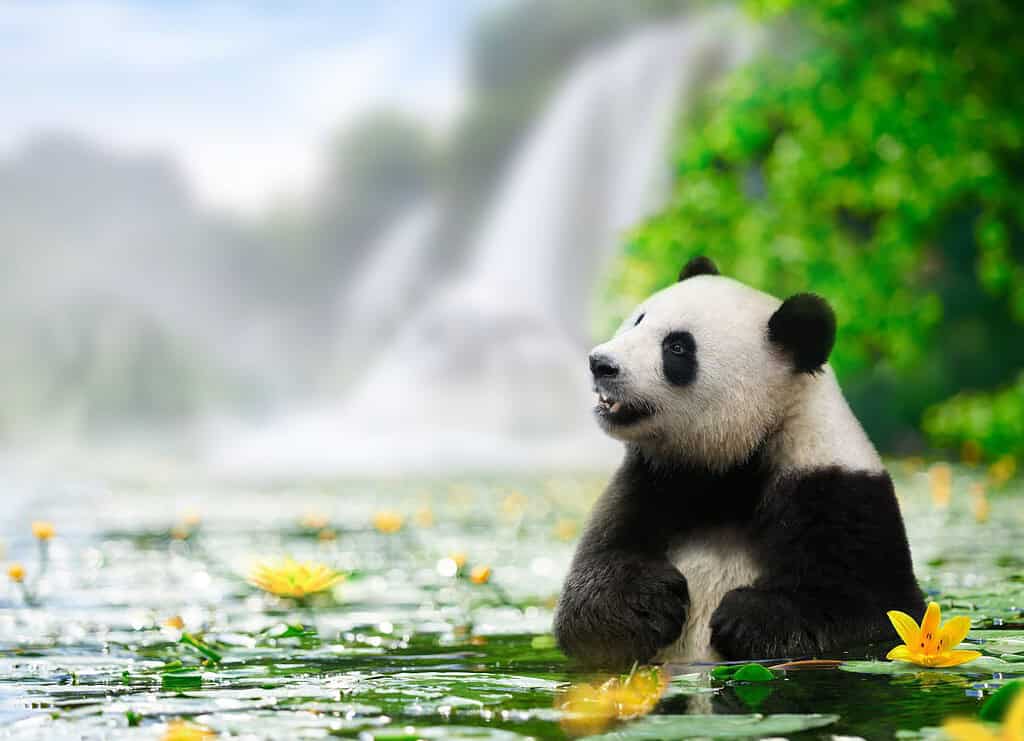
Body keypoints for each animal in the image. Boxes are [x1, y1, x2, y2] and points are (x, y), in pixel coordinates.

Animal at [554, 256, 924, 668]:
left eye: (677, 347)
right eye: (639, 319)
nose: (601, 363)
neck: (733, 468)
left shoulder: (839, 491)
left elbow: (872, 609)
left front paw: (746, 619)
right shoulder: (652, 479)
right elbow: (587, 599)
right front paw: (649, 601)